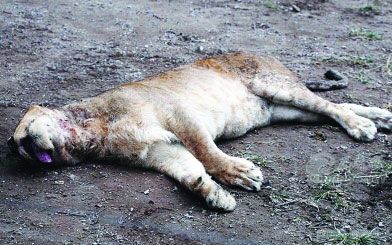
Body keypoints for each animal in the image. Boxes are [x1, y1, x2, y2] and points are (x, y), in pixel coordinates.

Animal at [9, 51, 392, 211]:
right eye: (18, 147)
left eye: (21, 134)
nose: (21, 149)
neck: (93, 134)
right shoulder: (157, 150)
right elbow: (188, 169)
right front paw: (213, 195)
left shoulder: (178, 114)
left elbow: (206, 152)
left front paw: (238, 173)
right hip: (284, 111)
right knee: (335, 107)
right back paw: (379, 117)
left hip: (277, 86)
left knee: (330, 106)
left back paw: (364, 127)